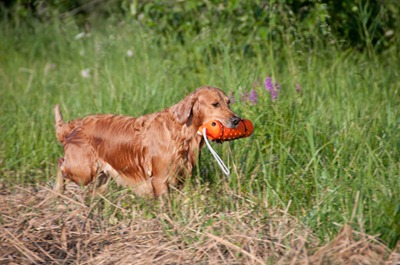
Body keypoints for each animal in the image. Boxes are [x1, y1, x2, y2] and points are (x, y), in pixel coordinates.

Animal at [53, 85, 241, 195]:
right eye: (215, 104)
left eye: (228, 102)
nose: (236, 120)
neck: (180, 132)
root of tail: (74, 126)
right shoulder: (160, 178)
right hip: (84, 170)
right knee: (61, 164)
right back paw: (57, 192)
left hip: (100, 175)